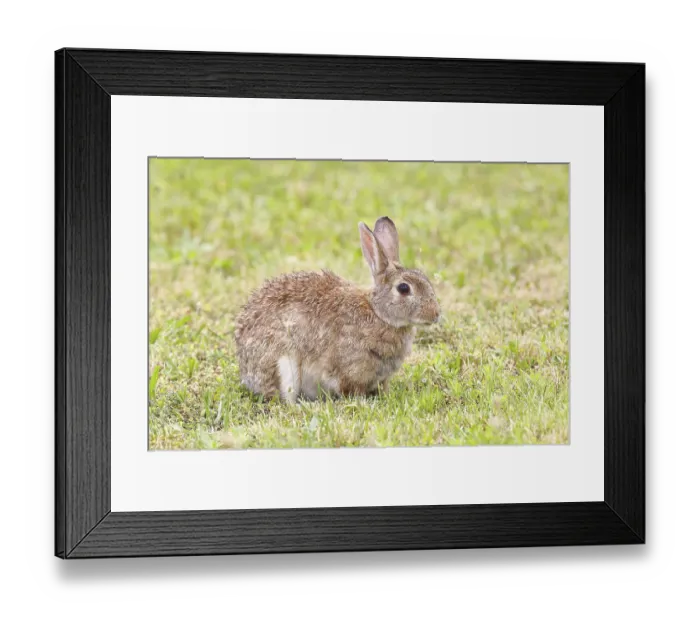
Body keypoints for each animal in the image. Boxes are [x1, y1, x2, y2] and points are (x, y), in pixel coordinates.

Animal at [234, 216, 441, 403]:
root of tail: (246, 371)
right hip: (284, 365)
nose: (436, 314)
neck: (379, 314)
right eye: (404, 288)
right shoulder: (349, 369)